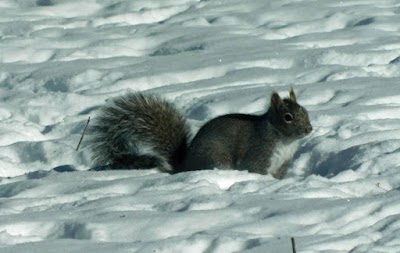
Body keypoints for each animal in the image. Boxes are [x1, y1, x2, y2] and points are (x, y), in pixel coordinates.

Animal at [90, 88, 312, 179]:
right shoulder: (259, 152)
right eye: (288, 117)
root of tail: (186, 166)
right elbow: (255, 168)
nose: (309, 129)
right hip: (217, 159)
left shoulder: (283, 163)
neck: (285, 141)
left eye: (305, 111)